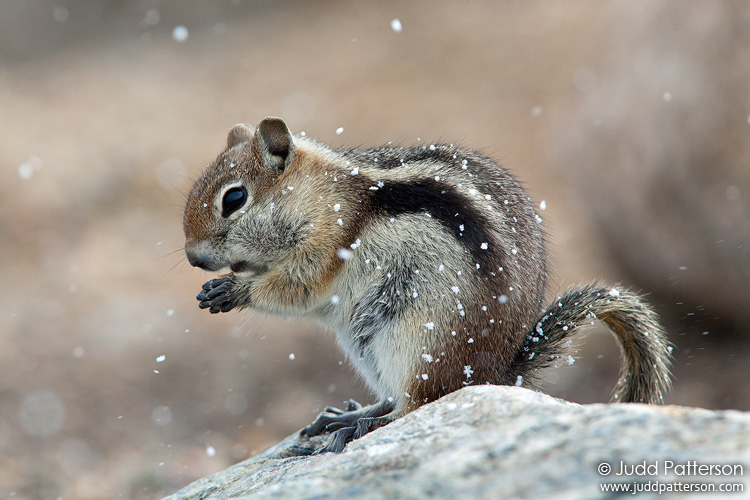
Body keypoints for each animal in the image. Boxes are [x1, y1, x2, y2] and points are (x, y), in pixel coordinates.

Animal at [184, 116, 676, 454]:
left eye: (234, 198)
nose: (192, 258)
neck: (323, 196)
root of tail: (496, 374)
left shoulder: (328, 244)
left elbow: (297, 287)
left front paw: (236, 291)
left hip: (416, 338)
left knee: (418, 403)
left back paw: (358, 426)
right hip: (366, 342)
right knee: (395, 397)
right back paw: (349, 414)